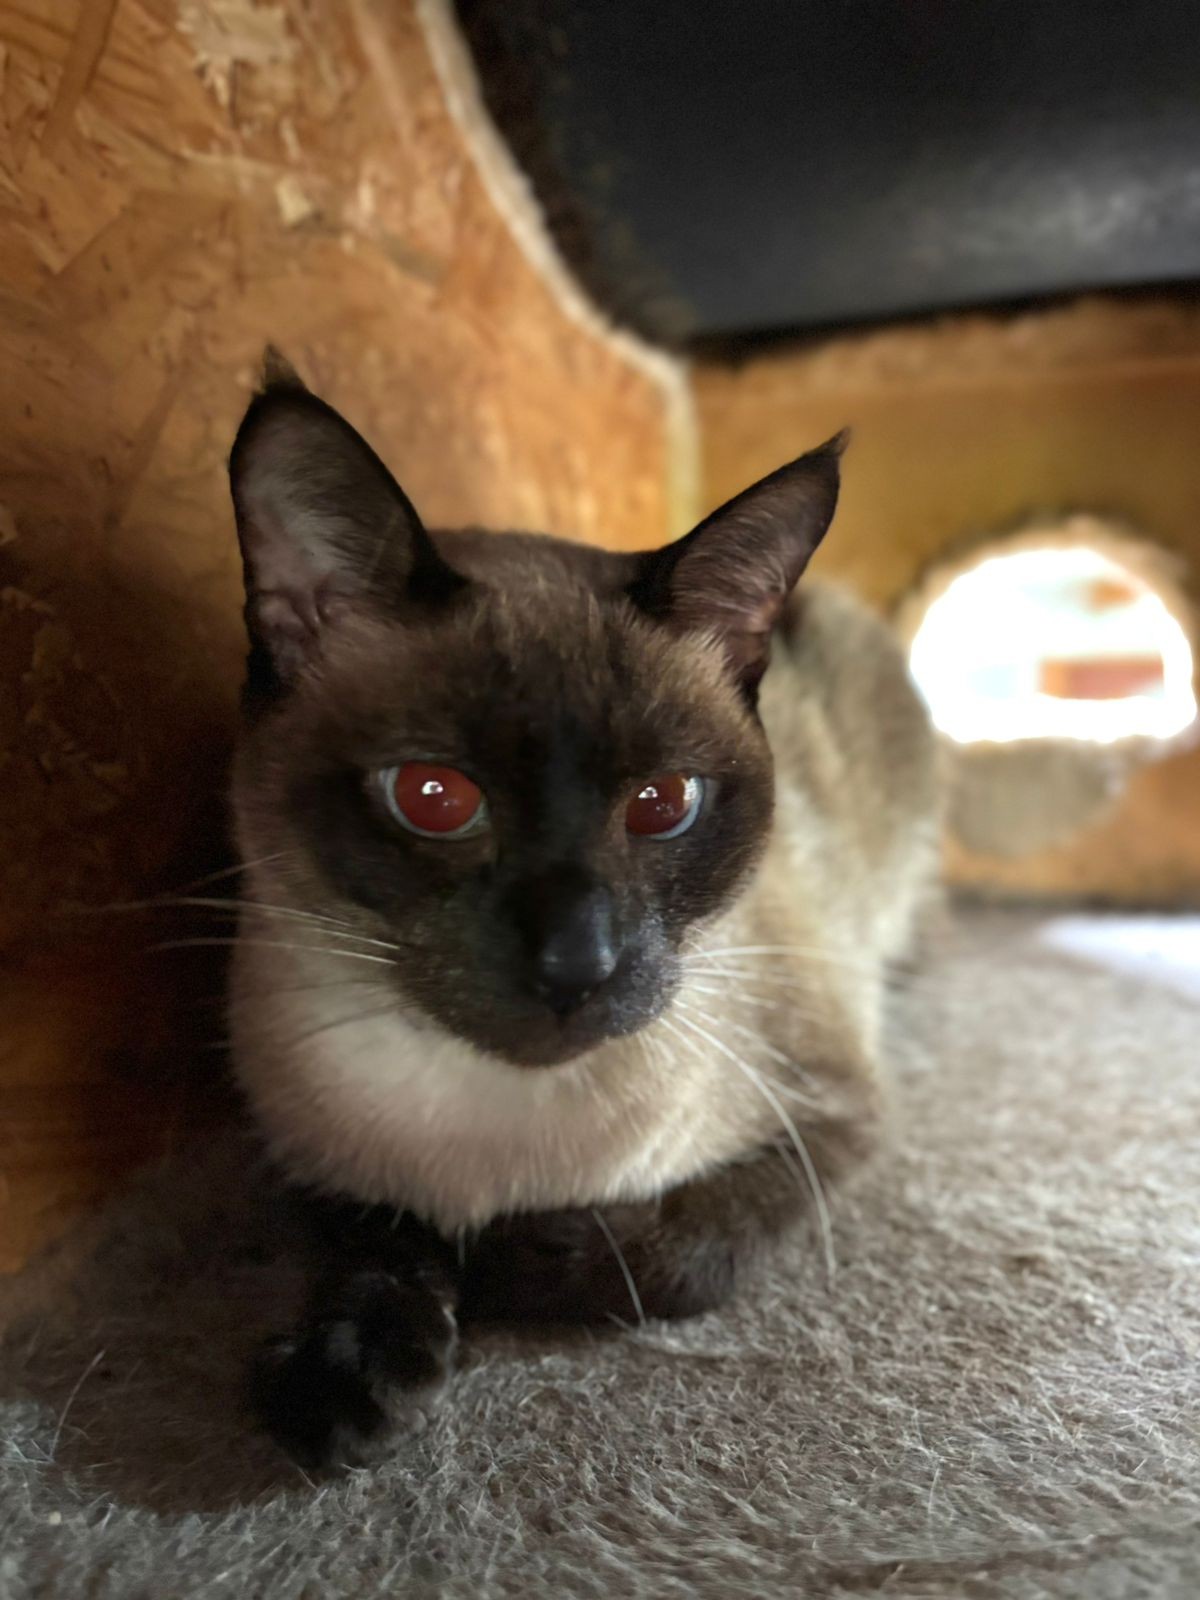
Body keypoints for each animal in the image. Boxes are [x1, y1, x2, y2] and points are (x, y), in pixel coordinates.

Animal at [226, 357, 940, 1468]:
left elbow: (667, 1257)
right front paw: (347, 1379)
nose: (578, 963)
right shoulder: (311, 1150)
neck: (488, 1137)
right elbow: (378, 1235)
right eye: (433, 797)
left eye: (664, 803)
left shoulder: (826, 1117)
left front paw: (501, 1263)